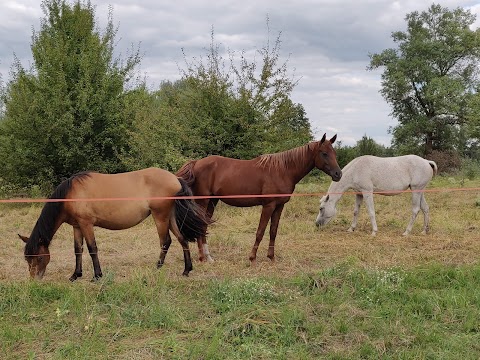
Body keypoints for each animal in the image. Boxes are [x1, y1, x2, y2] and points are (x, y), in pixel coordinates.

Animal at [20, 168, 212, 282]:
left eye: (38, 257)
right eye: (28, 259)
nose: (34, 279)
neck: (70, 194)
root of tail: (176, 178)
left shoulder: (86, 224)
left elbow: (92, 249)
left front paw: (97, 276)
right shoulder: (77, 226)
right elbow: (78, 250)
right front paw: (75, 275)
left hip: (160, 217)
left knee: (166, 242)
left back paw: (157, 267)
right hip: (170, 217)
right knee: (182, 240)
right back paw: (186, 270)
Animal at [176, 134, 342, 264]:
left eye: (334, 152)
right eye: (324, 153)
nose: (338, 174)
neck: (283, 170)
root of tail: (196, 163)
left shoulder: (279, 206)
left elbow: (273, 231)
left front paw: (271, 257)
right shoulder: (268, 205)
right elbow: (260, 231)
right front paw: (252, 258)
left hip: (212, 201)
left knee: (203, 225)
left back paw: (208, 257)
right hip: (203, 201)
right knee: (199, 225)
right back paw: (202, 258)